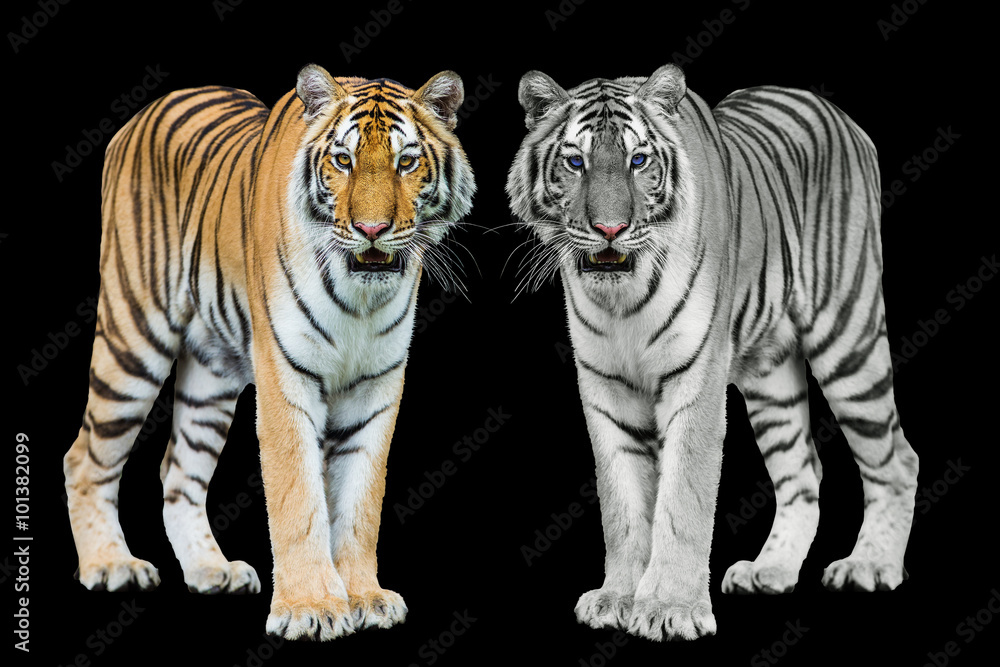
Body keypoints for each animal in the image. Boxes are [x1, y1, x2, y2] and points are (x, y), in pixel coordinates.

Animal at [62, 63, 475, 641]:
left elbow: (360, 502)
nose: (372, 230)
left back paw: (211, 570)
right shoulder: (286, 377)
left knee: (179, 471)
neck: (361, 298)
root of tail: (142, 114)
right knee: (84, 456)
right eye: (343, 160)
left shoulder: (375, 388)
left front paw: (364, 597)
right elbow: (297, 495)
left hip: (210, 377)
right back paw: (110, 564)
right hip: (133, 336)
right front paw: (311, 607)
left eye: (406, 162)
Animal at [505, 64, 920, 641]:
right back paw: (771, 570)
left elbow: (684, 498)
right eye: (575, 162)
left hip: (849, 337)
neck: (621, 301)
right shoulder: (606, 388)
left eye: (638, 161)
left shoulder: (694, 379)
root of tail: (838, 114)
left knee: (897, 457)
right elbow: (622, 504)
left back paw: (871, 564)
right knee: (802, 470)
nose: (609, 230)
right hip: (772, 378)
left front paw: (670, 608)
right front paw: (618, 598)